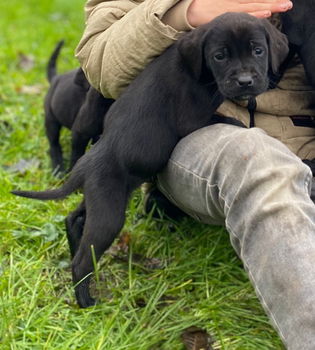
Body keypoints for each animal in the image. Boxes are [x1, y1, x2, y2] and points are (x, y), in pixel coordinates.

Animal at [43, 41, 114, 173]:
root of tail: (56, 78)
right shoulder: (79, 132)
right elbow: (77, 154)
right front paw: (71, 171)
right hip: (51, 119)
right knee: (54, 143)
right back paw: (58, 169)